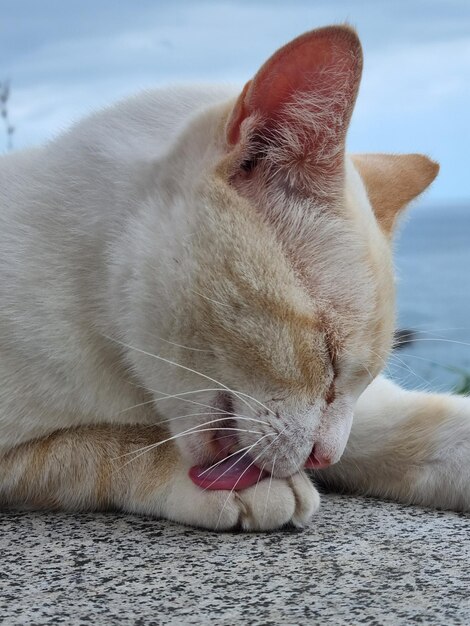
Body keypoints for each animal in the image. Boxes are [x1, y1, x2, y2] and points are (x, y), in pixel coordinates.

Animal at [0, 26, 468, 528]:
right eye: (327, 354)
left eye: (359, 380)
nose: (324, 458)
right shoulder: (22, 456)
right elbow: (102, 447)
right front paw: (250, 489)